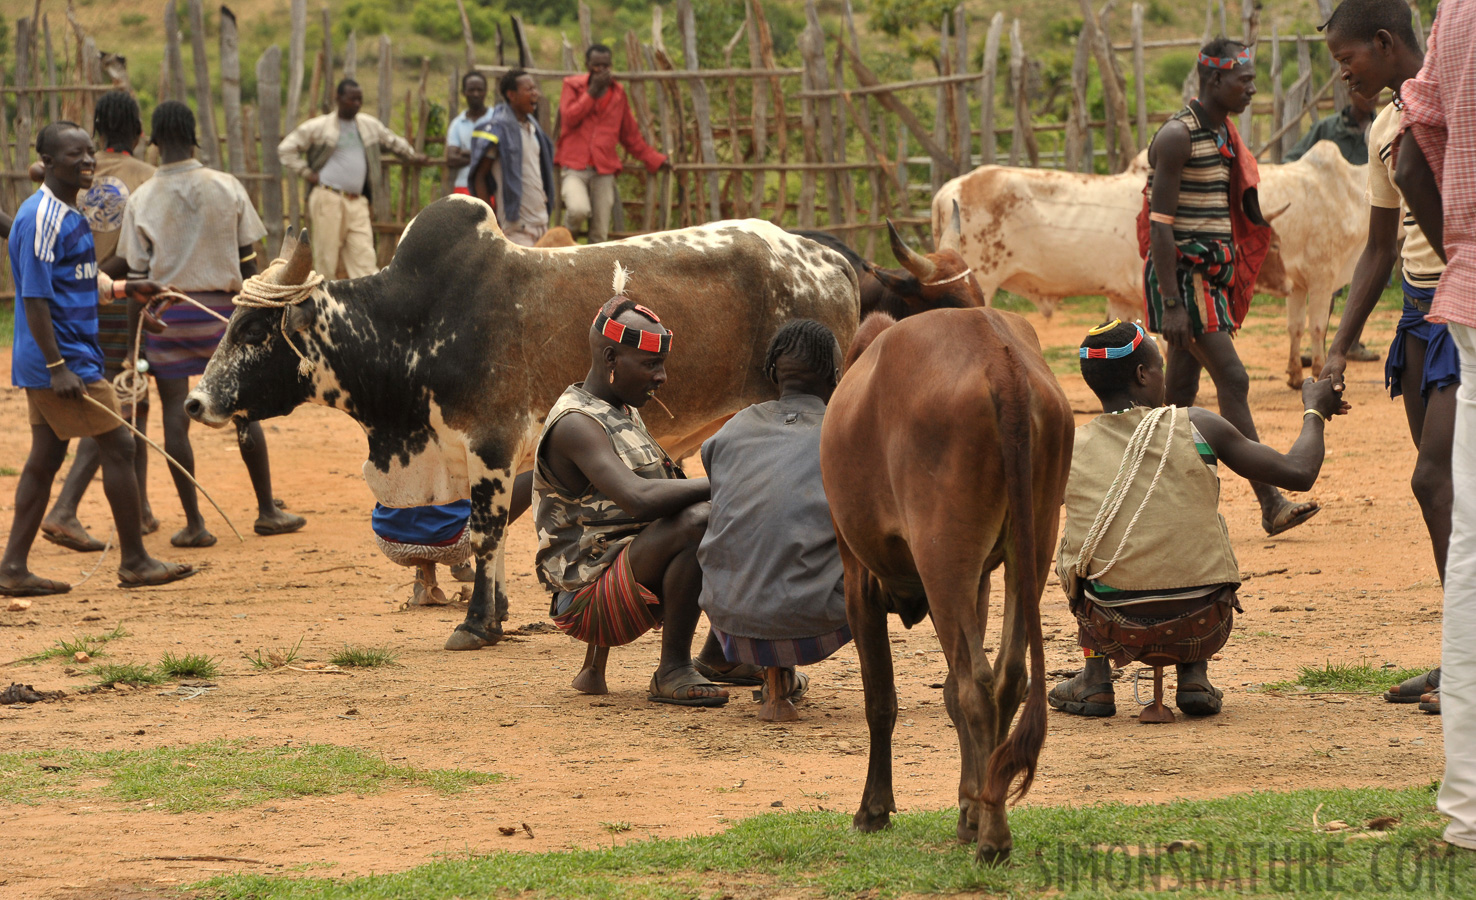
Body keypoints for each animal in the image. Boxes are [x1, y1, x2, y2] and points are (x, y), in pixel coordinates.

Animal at [185, 194, 861, 643]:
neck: (413, 326)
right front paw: (500, 612)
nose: (197, 402)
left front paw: (475, 624)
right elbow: (498, 533)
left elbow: (483, 533)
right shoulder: (483, 453)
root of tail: (826, 255)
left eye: (252, 331)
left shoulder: (489, 439)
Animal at [820, 221, 1074, 855]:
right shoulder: (979, 579)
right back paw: (989, 810)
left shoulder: (857, 576)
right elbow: (949, 696)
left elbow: (881, 699)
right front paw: (965, 806)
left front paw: (874, 808)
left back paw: (994, 837)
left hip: (943, 558)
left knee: (976, 684)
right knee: (1004, 676)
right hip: (1024, 551)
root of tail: (1001, 359)